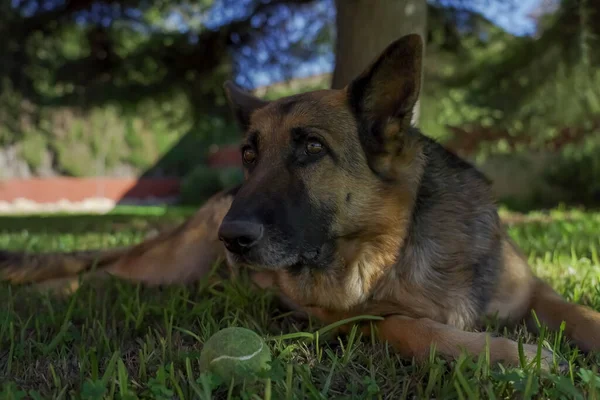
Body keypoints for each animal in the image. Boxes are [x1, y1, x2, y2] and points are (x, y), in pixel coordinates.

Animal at [1, 34, 600, 372]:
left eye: (312, 148)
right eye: (248, 154)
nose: (231, 238)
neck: (395, 244)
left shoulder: (535, 291)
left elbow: (578, 311)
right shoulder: (345, 323)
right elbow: (406, 326)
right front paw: (509, 356)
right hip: (163, 271)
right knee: (97, 275)